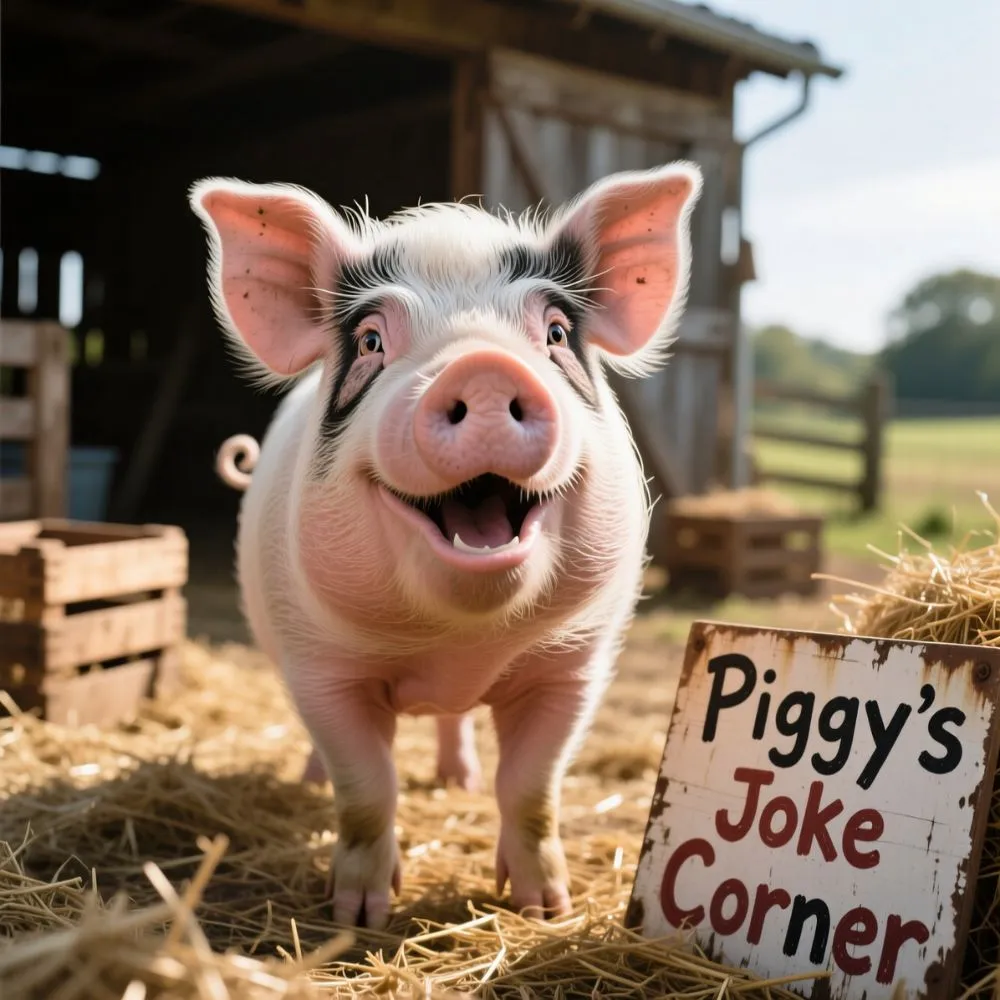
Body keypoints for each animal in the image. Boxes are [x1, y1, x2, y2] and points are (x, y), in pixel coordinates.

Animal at [190, 162, 702, 930]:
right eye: (371, 342)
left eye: (555, 332)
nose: (483, 368)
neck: (458, 644)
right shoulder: (321, 668)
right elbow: (366, 787)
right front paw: (358, 916)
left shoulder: (575, 667)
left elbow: (532, 785)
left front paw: (546, 909)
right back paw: (314, 783)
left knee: (458, 724)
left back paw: (457, 781)